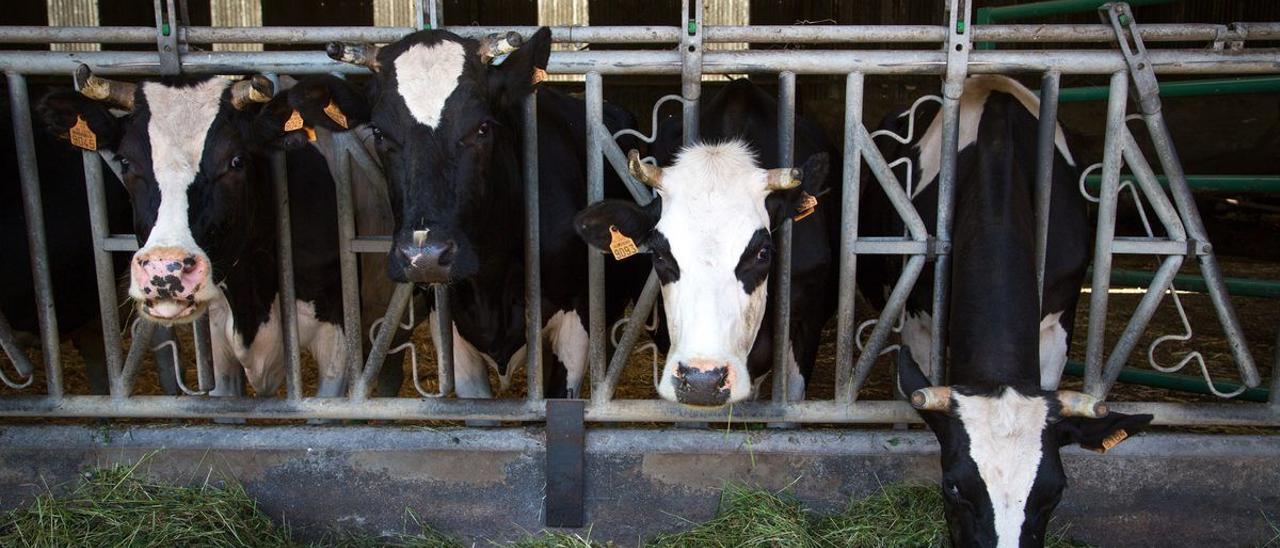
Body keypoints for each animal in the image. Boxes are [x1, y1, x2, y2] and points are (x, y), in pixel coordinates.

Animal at [286, 27, 647, 399]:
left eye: (483, 127)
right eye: (379, 133)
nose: (424, 257)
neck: (493, 279)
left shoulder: (575, 328)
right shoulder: (454, 338)